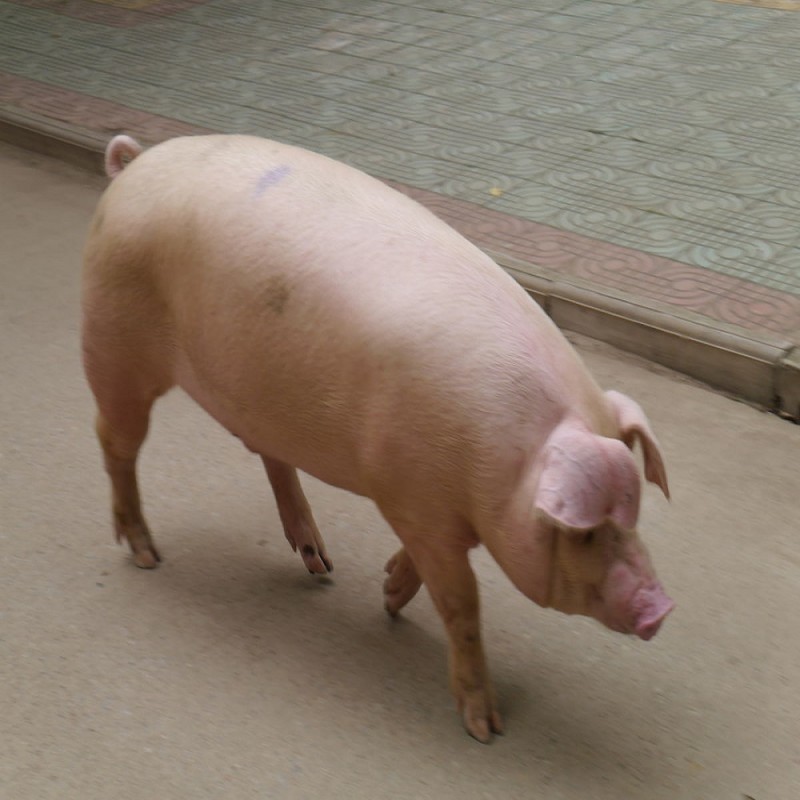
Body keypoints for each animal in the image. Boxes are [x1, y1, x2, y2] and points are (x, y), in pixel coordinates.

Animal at [82, 133, 673, 743]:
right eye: (583, 530)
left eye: (633, 514)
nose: (660, 608)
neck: (502, 473)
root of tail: (135, 163)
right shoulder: (414, 500)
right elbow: (462, 601)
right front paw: (484, 728)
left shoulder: (424, 509)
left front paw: (387, 592)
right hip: (114, 339)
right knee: (114, 440)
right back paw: (147, 555)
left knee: (270, 456)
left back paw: (320, 565)